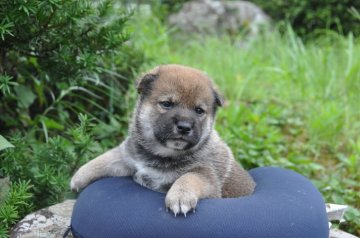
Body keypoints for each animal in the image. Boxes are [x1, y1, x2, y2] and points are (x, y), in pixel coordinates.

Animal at [70, 64, 255, 217]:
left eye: (199, 111)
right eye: (166, 104)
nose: (184, 127)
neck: (162, 153)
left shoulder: (206, 176)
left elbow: (188, 178)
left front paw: (180, 197)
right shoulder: (127, 158)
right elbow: (103, 159)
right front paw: (79, 176)